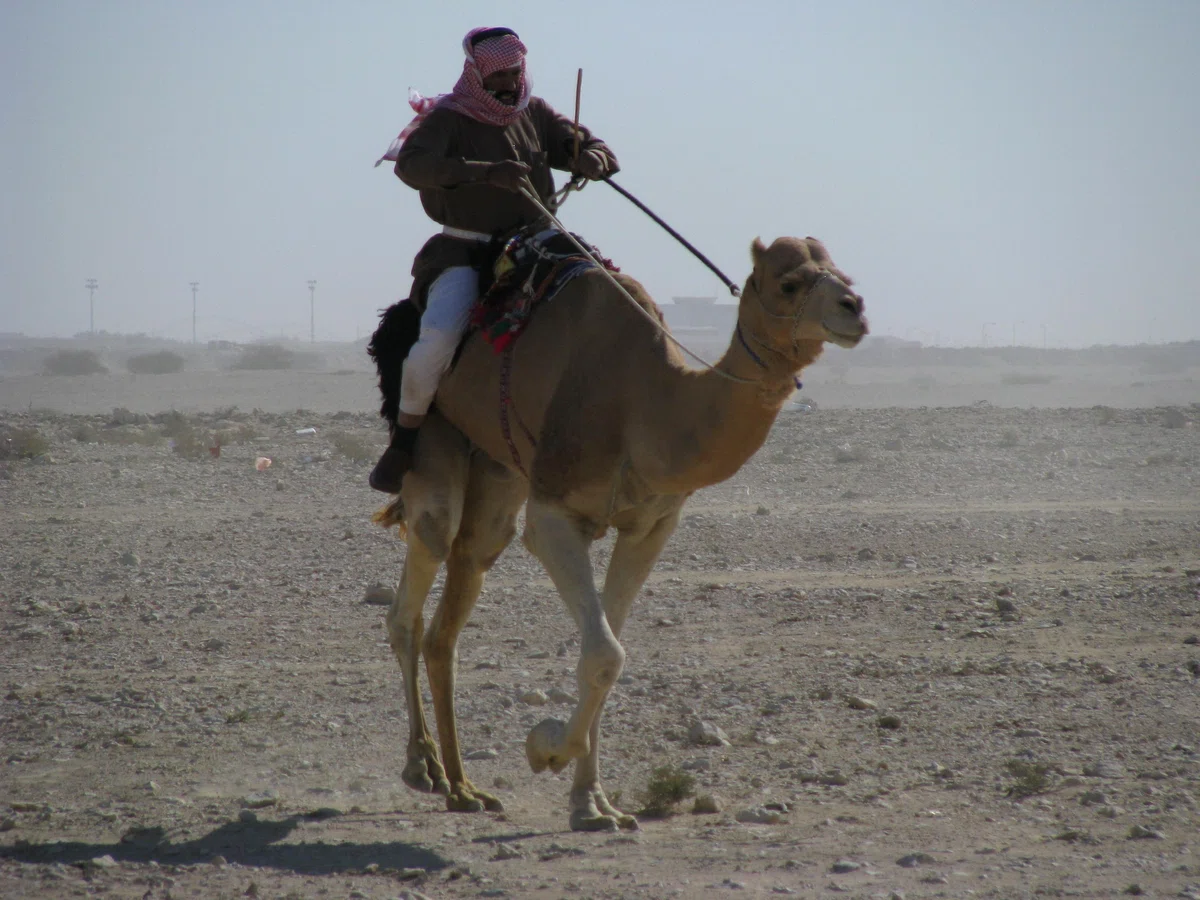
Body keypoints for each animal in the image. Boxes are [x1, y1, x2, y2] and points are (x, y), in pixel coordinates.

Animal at [374, 235, 868, 831]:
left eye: (844, 274)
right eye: (789, 283)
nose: (855, 309)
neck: (647, 404)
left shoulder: (650, 527)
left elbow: (607, 654)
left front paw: (592, 803)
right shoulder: (555, 514)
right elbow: (606, 654)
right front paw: (545, 748)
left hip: (498, 470)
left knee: (457, 592)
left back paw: (464, 787)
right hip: (434, 432)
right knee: (418, 579)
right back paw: (422, 767)